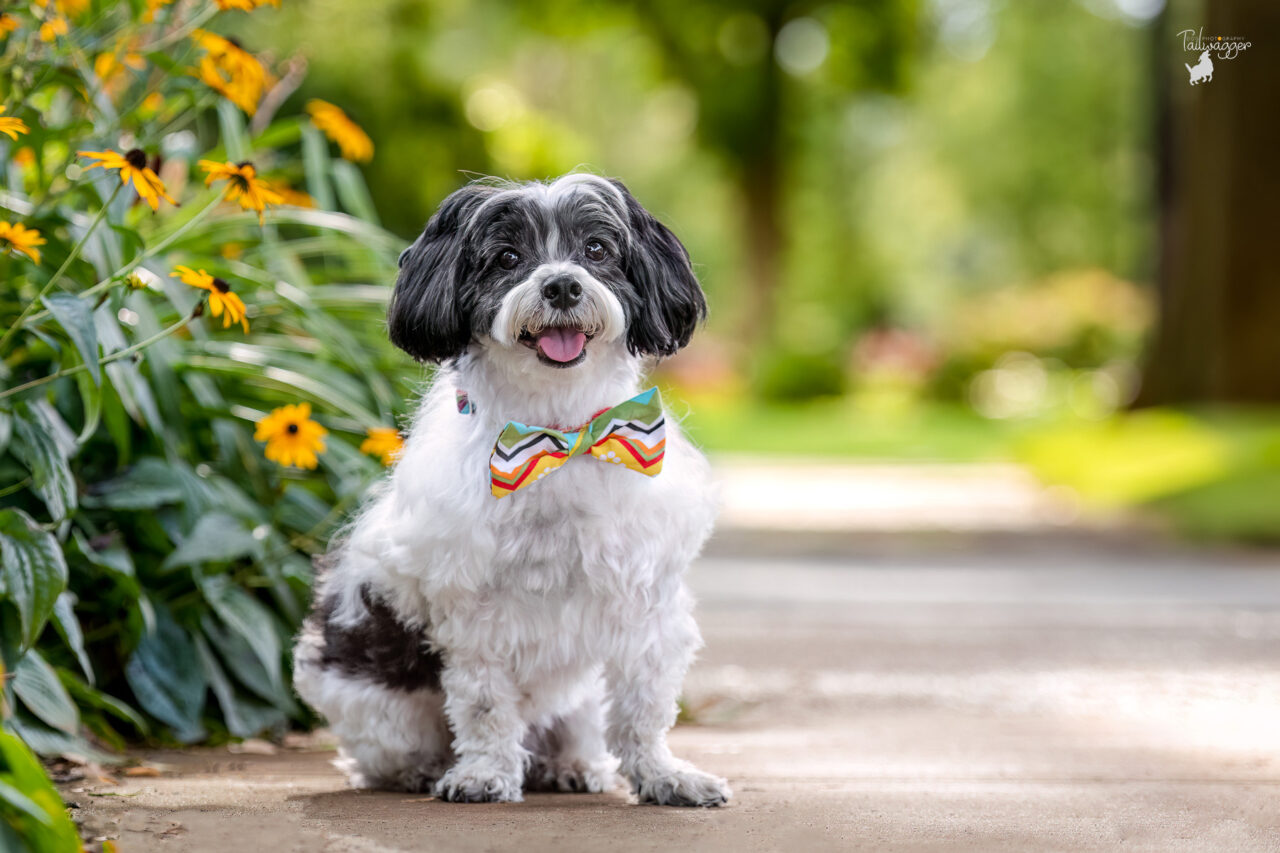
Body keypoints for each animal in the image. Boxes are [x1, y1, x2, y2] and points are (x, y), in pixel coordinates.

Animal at [293, 171, 732, 804]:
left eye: (597, 250)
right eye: (506, 258)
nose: (561, 285)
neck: (558, 433)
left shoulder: (645, 598)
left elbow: (644, 708)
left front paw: (663, 775)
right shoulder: (474, 607)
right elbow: (483, 704)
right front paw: (483, 773)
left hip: (575, 703)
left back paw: (569, 765)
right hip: (374, 702)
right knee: (383, 754)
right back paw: (424, 770)